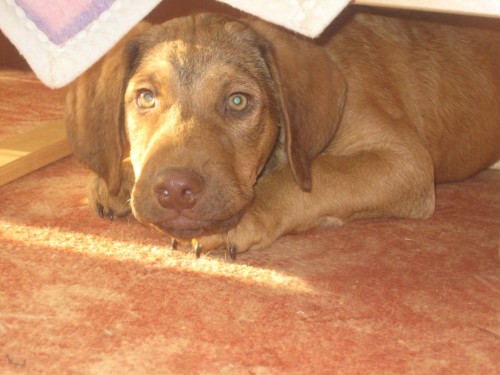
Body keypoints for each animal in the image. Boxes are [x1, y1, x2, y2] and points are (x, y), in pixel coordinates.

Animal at [65, 8, 500, 258]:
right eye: (146, 98)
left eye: (238, 101)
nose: (174, 191)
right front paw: (120, 176)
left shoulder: (405, 160)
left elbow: (308, 175)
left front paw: (235, 223)